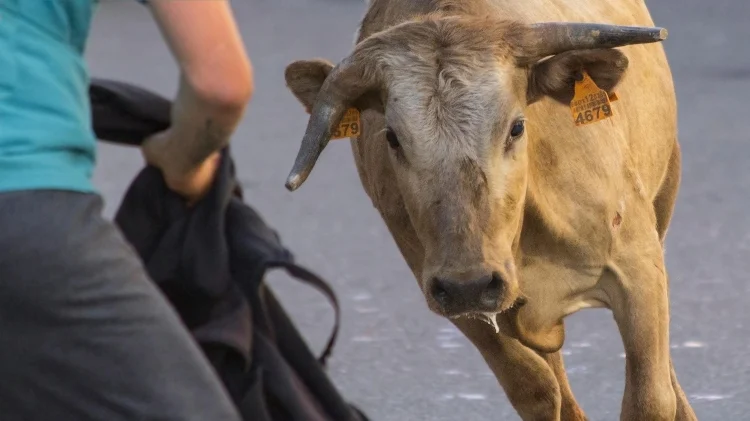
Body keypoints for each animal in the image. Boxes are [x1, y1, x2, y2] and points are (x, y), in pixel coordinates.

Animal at [284, 0, 700, 418]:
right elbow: (535, 388)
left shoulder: (638, 266)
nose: (469, 283)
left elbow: (650, 396)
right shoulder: (451, 295)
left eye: (516, 127)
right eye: (393, 138)